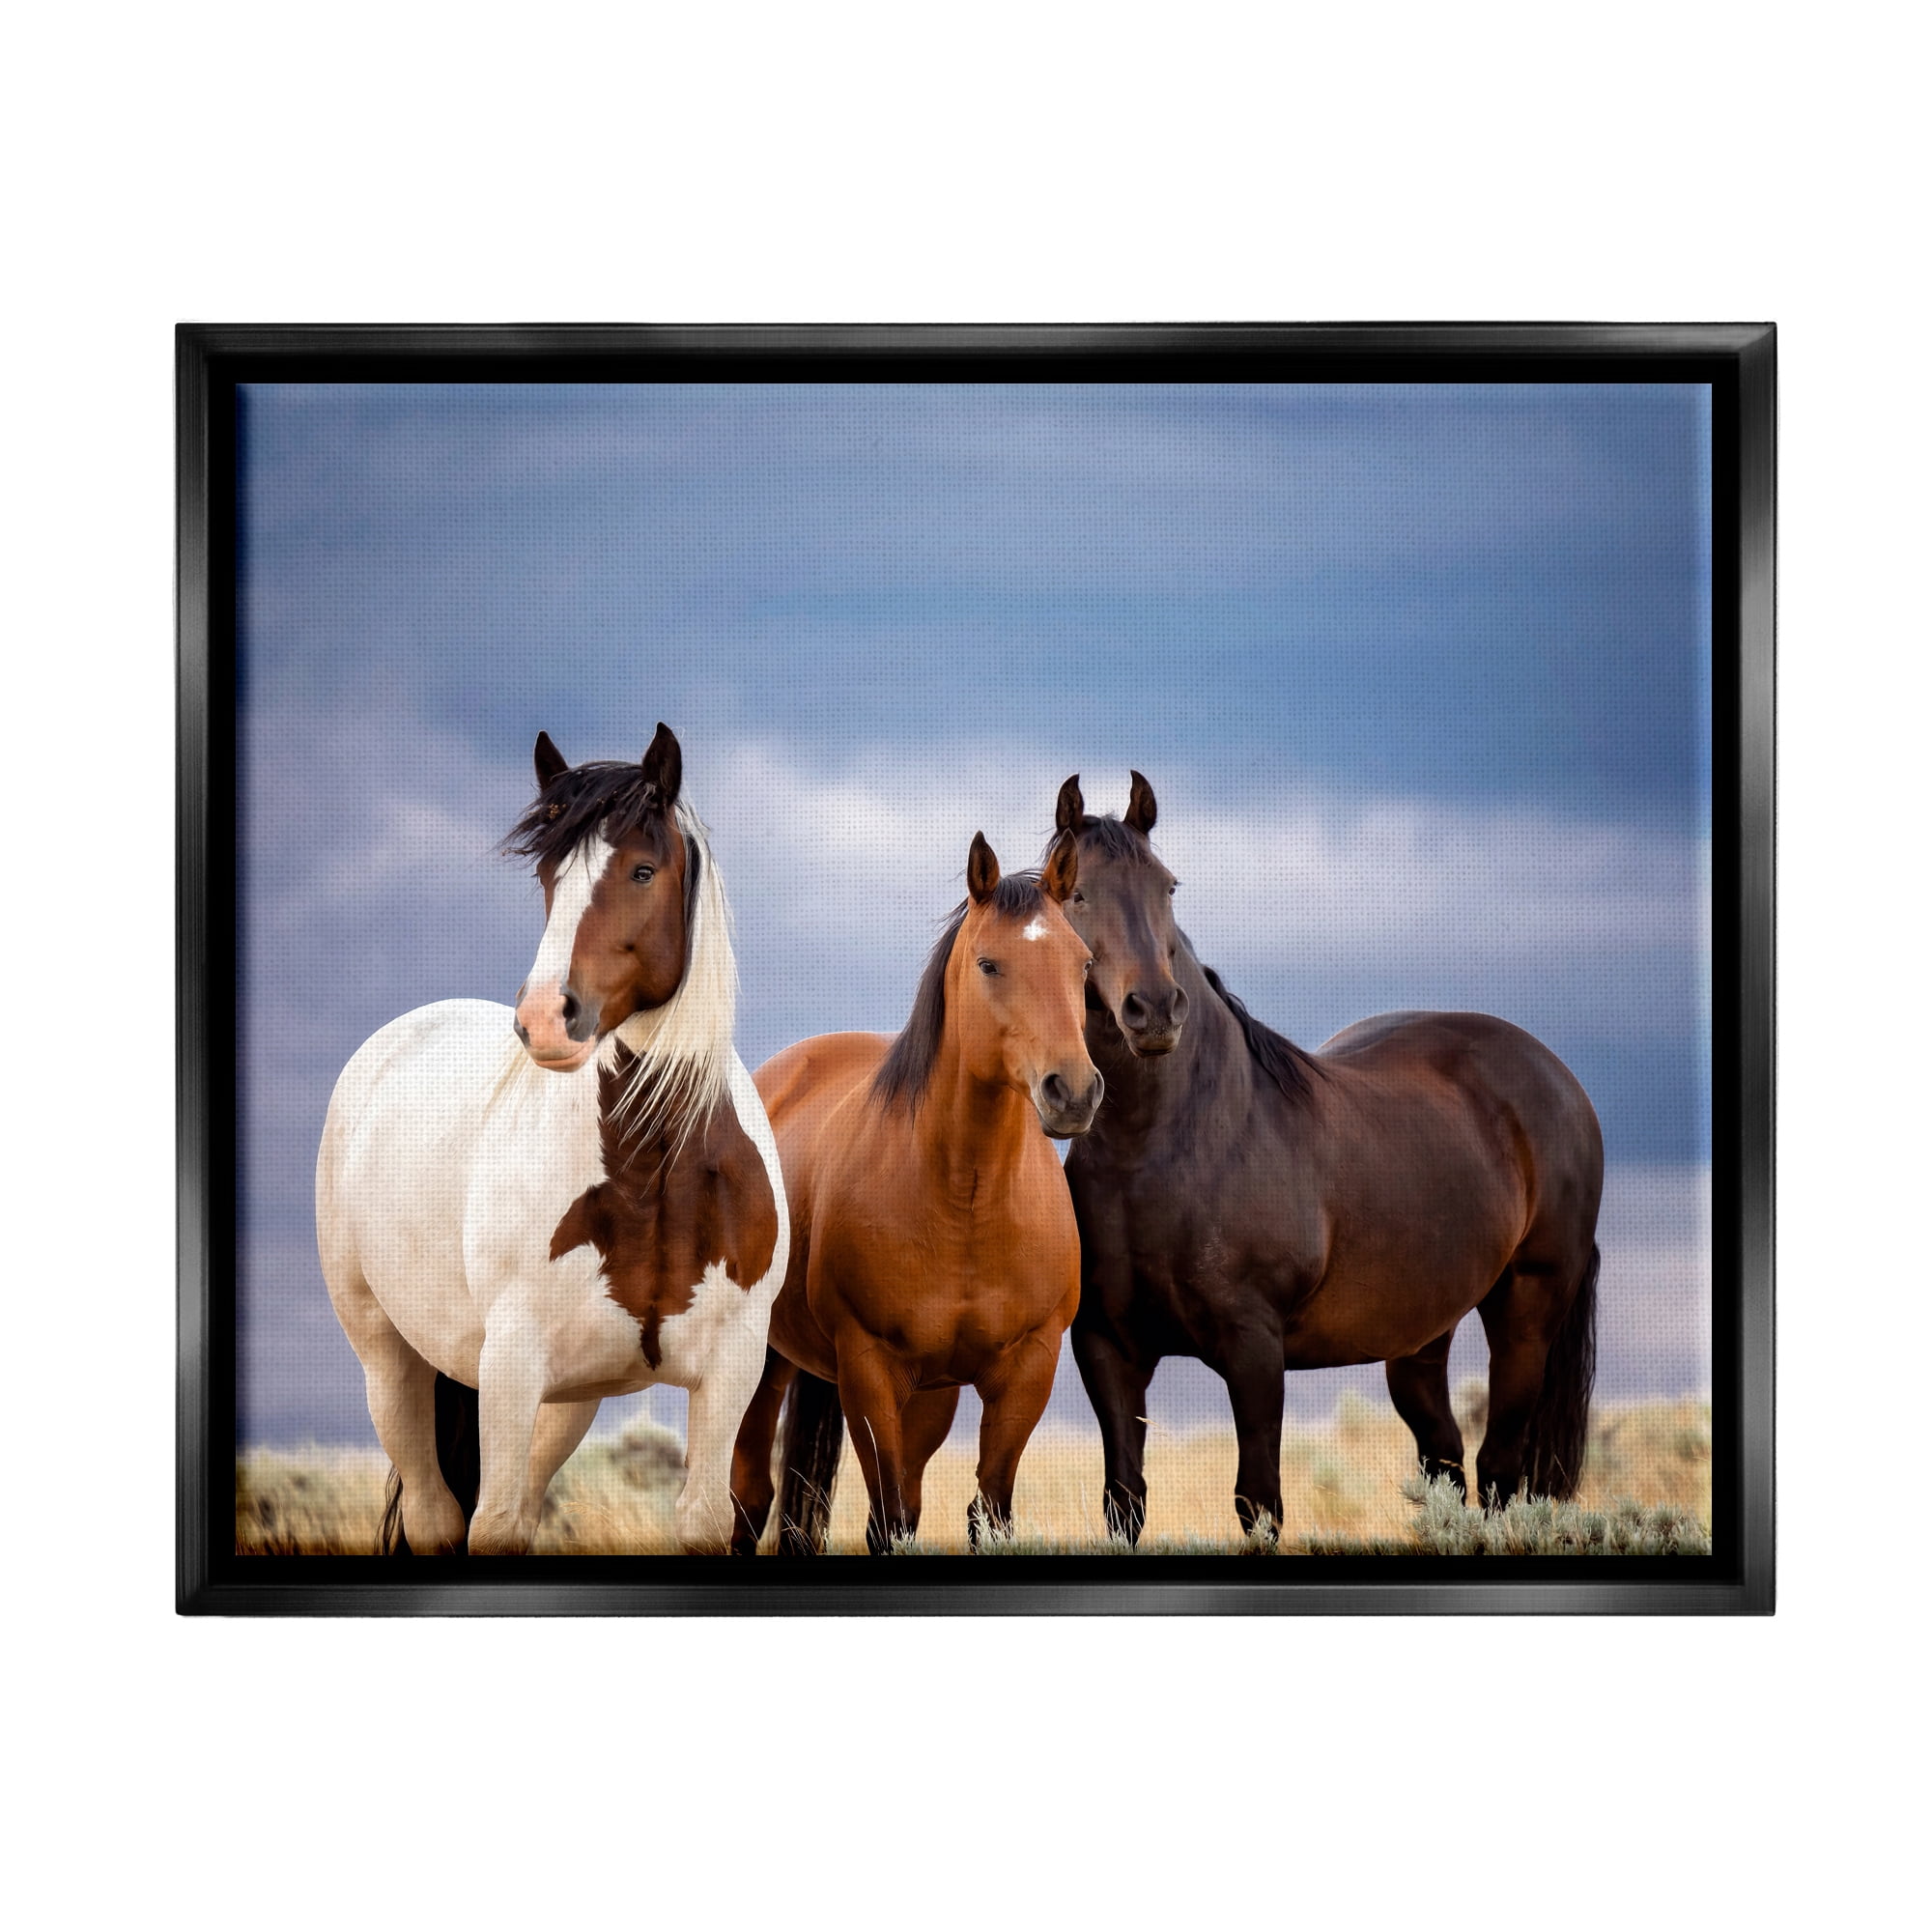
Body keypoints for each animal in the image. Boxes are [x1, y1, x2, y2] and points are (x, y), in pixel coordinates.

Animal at [315, 724, 787, 1555]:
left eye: (642, 870)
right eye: (547, 873)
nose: (542, 1019)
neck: (652, 1172)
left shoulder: (731, 1369)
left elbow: (704, 1518)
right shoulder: (510, 1366)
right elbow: (495, 1523)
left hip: (566, 1402)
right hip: (391, 1361)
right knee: (438, 1516)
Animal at [727, 829, 1103, 1554]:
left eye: (1083, 963)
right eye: (989, 964)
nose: (1072, 1091)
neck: (967, 1202)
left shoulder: (1027, 1370)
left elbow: (986, 1511)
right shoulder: (869, 1370)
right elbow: (887, 1518)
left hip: (926, 1393)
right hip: (762, 1360)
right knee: (750, 1498)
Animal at [1051, 773, 1604, 1542]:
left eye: (1168, 886)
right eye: (1074, 893)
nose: (1155, 1011)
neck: (1163, 1149)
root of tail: (1556, 1077)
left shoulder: (1254, 1349)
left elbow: (1259, 1502)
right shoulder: (1108, 1347)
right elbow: (1124, 1501)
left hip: (1526, 1309)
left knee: (1497, 1472)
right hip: (1420, 1335)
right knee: (1445, 1463)